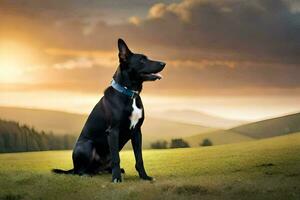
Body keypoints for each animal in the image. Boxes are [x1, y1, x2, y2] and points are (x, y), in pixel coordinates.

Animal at [54, 38, 166, 182]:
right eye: (141, 60)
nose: (164, 63)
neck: (129, 93)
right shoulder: (113, 131)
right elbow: (116, 159)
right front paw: (116, 179)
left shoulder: (137, 132)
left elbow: (139, 158)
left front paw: (144, 176)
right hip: (86, 145)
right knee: (79, 171)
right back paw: (87, 174)